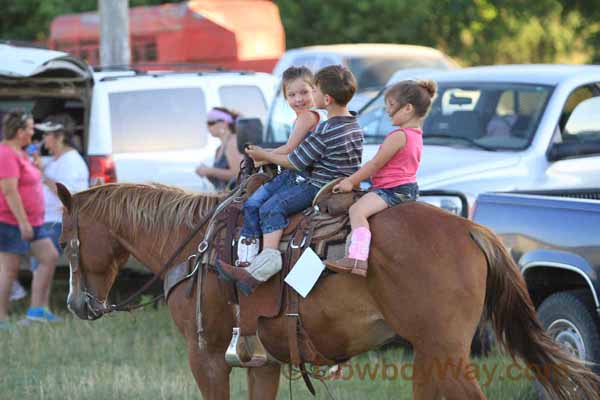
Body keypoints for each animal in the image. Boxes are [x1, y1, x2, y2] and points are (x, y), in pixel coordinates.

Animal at [57, 184, 600, 400]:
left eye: (64, 241)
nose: (76, 304)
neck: (194, 246)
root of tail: (470, 229)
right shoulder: (263, 360)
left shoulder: (205, 355)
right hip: (432, 354)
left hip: (444, 352)